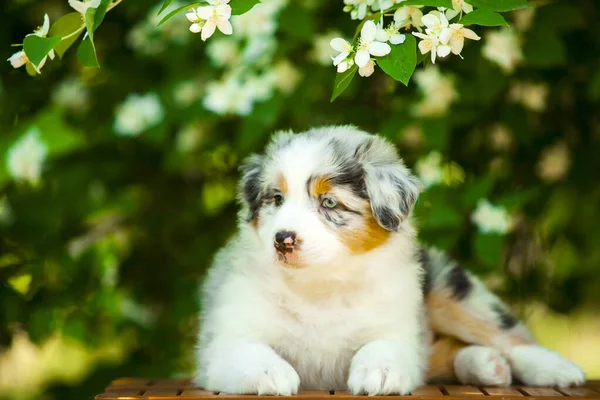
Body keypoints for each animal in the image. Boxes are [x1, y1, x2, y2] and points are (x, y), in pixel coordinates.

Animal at [193, 126, 584, 396]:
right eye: (275, 198)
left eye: (329, 203)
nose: (282, 239)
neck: (321, 285)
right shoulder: (223, 337)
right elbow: (246, 350)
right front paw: (271, 373)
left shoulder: (398, 325)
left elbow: (382, 345)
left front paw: (380, 372)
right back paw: (487, 365)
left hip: (448, 285)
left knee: (505, 334)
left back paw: (556, 369)